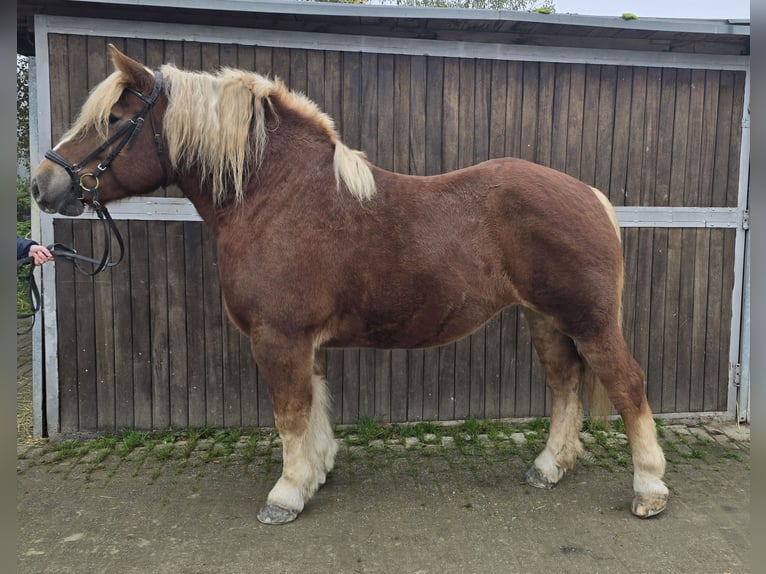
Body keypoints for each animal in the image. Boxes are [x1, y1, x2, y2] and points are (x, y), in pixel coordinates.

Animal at [33, 46, 668, 528]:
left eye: (115, 121)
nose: (42, 186)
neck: (276, 194)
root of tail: (590, 196)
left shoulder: (278, 337)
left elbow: (290, 413)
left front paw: (286, 495)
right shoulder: (304, 342)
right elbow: (313, 408)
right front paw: (314, 474)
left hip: (589, 320)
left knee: (628, 384)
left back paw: (649, 488)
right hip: (546, 318)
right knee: (565, 385)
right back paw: (549, 467)